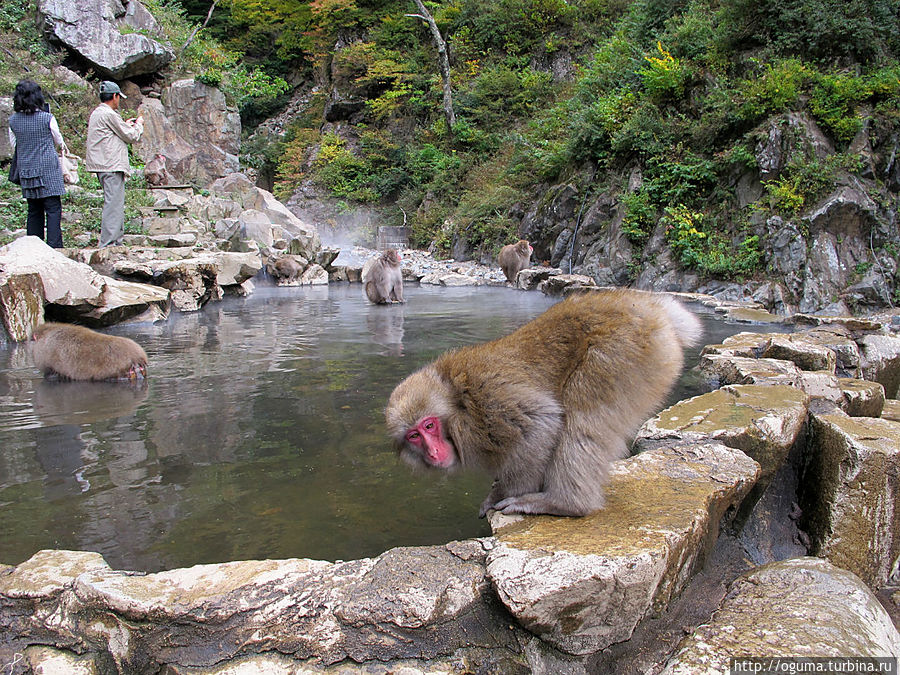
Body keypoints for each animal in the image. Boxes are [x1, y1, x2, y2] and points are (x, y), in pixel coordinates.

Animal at [384, 290, 704, 516]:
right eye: (414, 436)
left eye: (429, 426)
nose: (433, 452)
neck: (457, 403)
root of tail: (655, 310)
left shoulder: (490, 398)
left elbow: (540, 423)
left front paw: (504, 493)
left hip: (622, 353)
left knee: (582, 416)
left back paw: (564, 504)